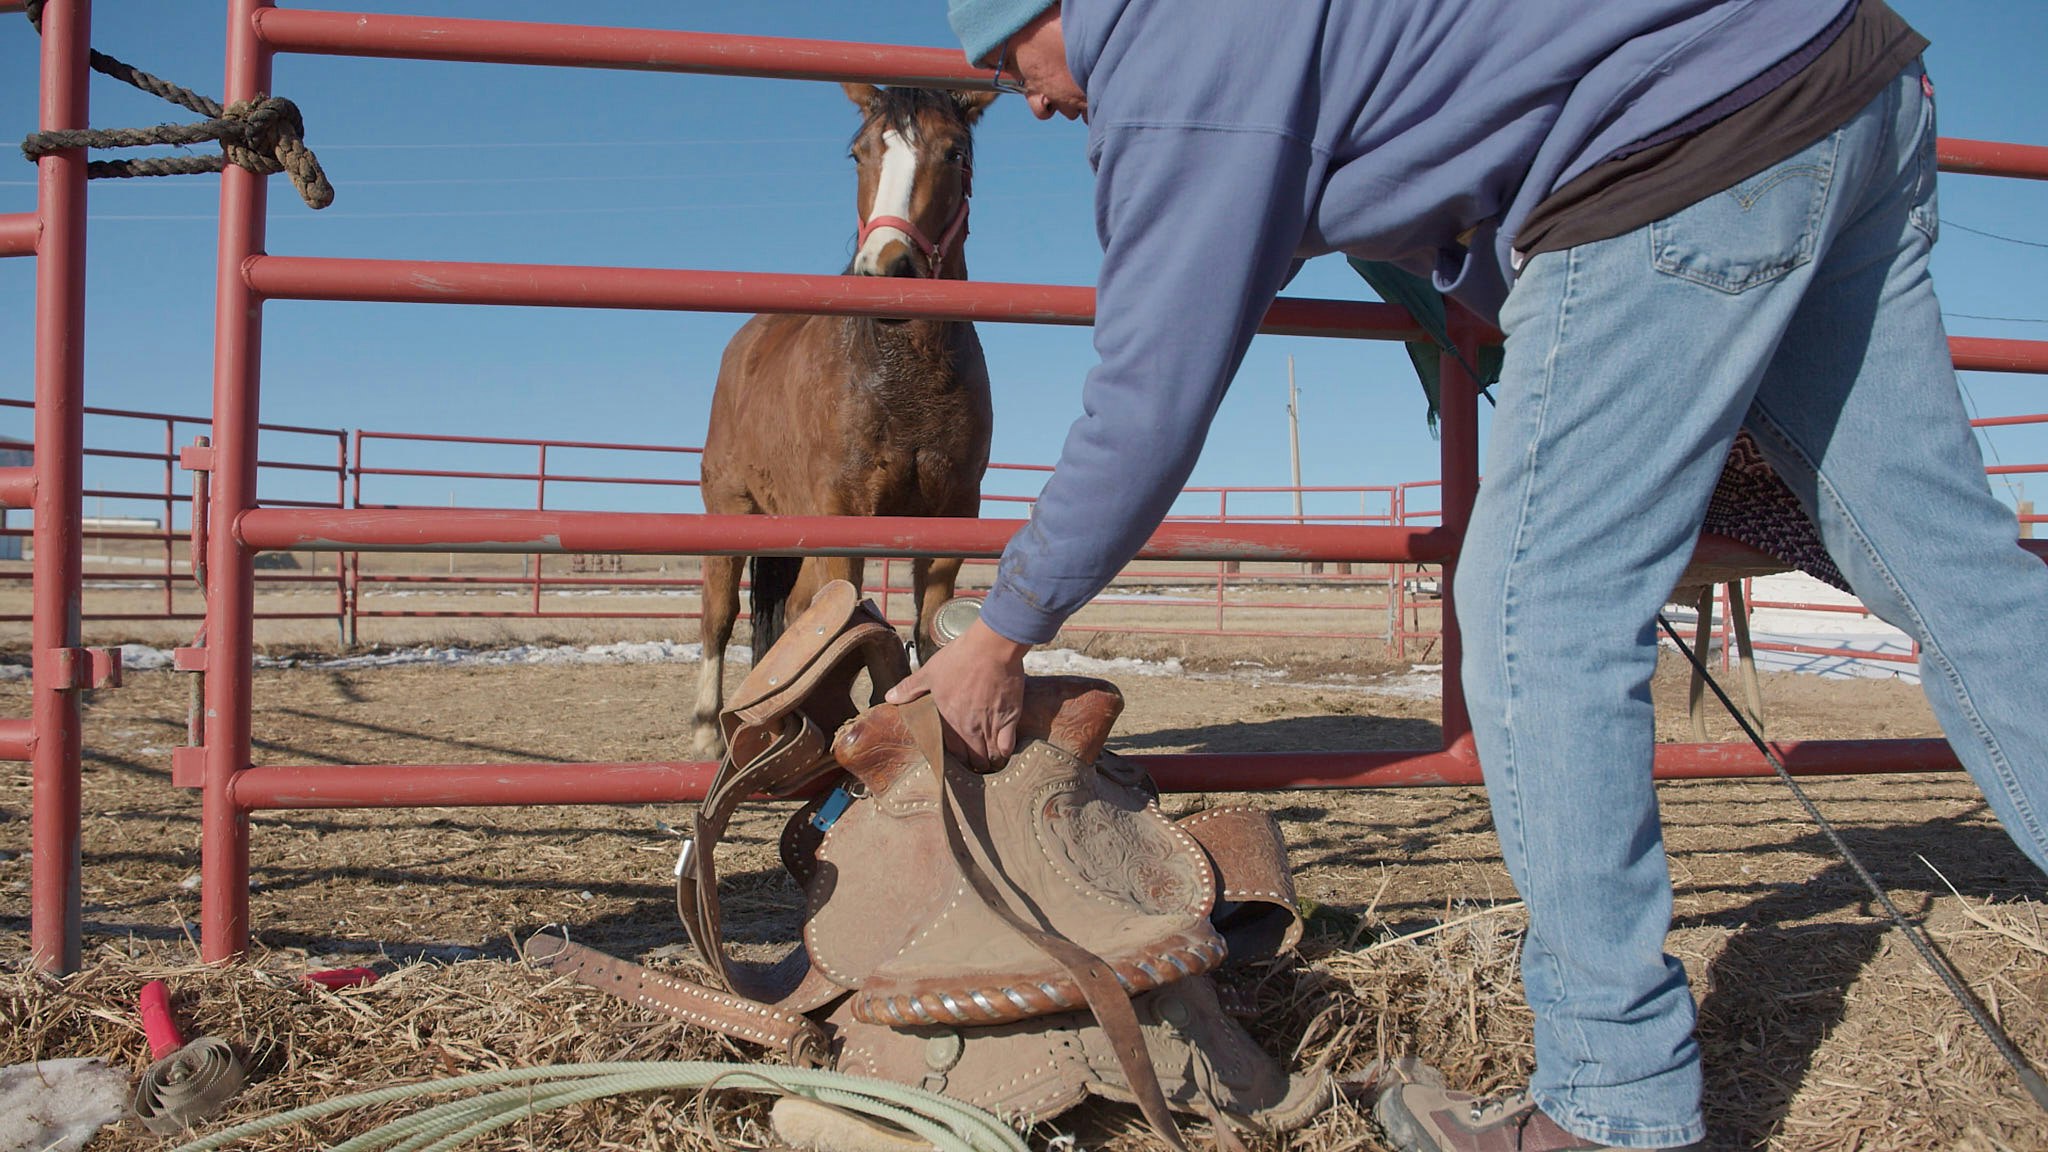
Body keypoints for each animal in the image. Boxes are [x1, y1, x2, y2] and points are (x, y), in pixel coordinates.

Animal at [692, 85, 995, 758]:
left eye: (955, 152)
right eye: (858, 153)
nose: (887, 268)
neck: (903, 378)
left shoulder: (952, 518)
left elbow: (926, 628)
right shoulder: (846, 515)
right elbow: (841, 624)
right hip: (730, 514)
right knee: (718, 615)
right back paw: (706, 732)